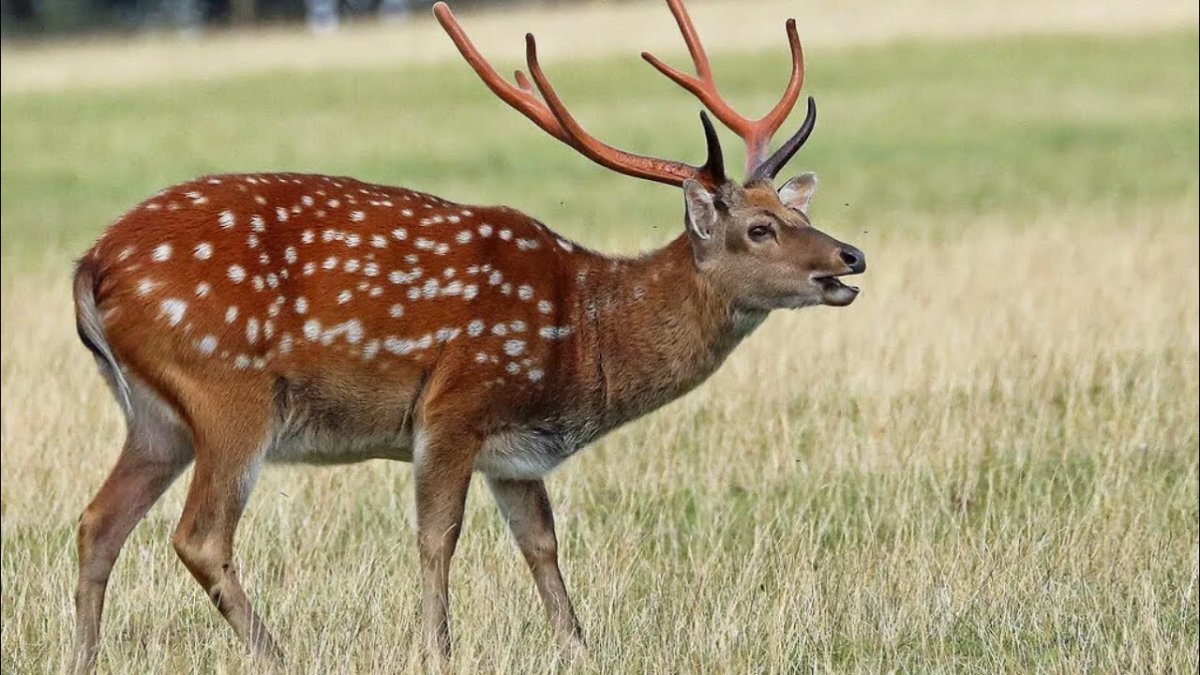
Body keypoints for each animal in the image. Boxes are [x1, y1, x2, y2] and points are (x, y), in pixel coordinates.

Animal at [68, 0, 865, 671]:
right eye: (759, 228)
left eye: (796, 212)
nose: (849, 258)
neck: (581, 337)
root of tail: (92, 262)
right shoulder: (456, 404)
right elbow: (437, 536)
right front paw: (438, 651)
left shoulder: (517, 454)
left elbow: (542, 545)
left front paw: (581, 649)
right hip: (227, 390)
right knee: (199, 535)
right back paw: (282, 656)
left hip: (157, 417)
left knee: (97, 522)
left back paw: (84, 659)